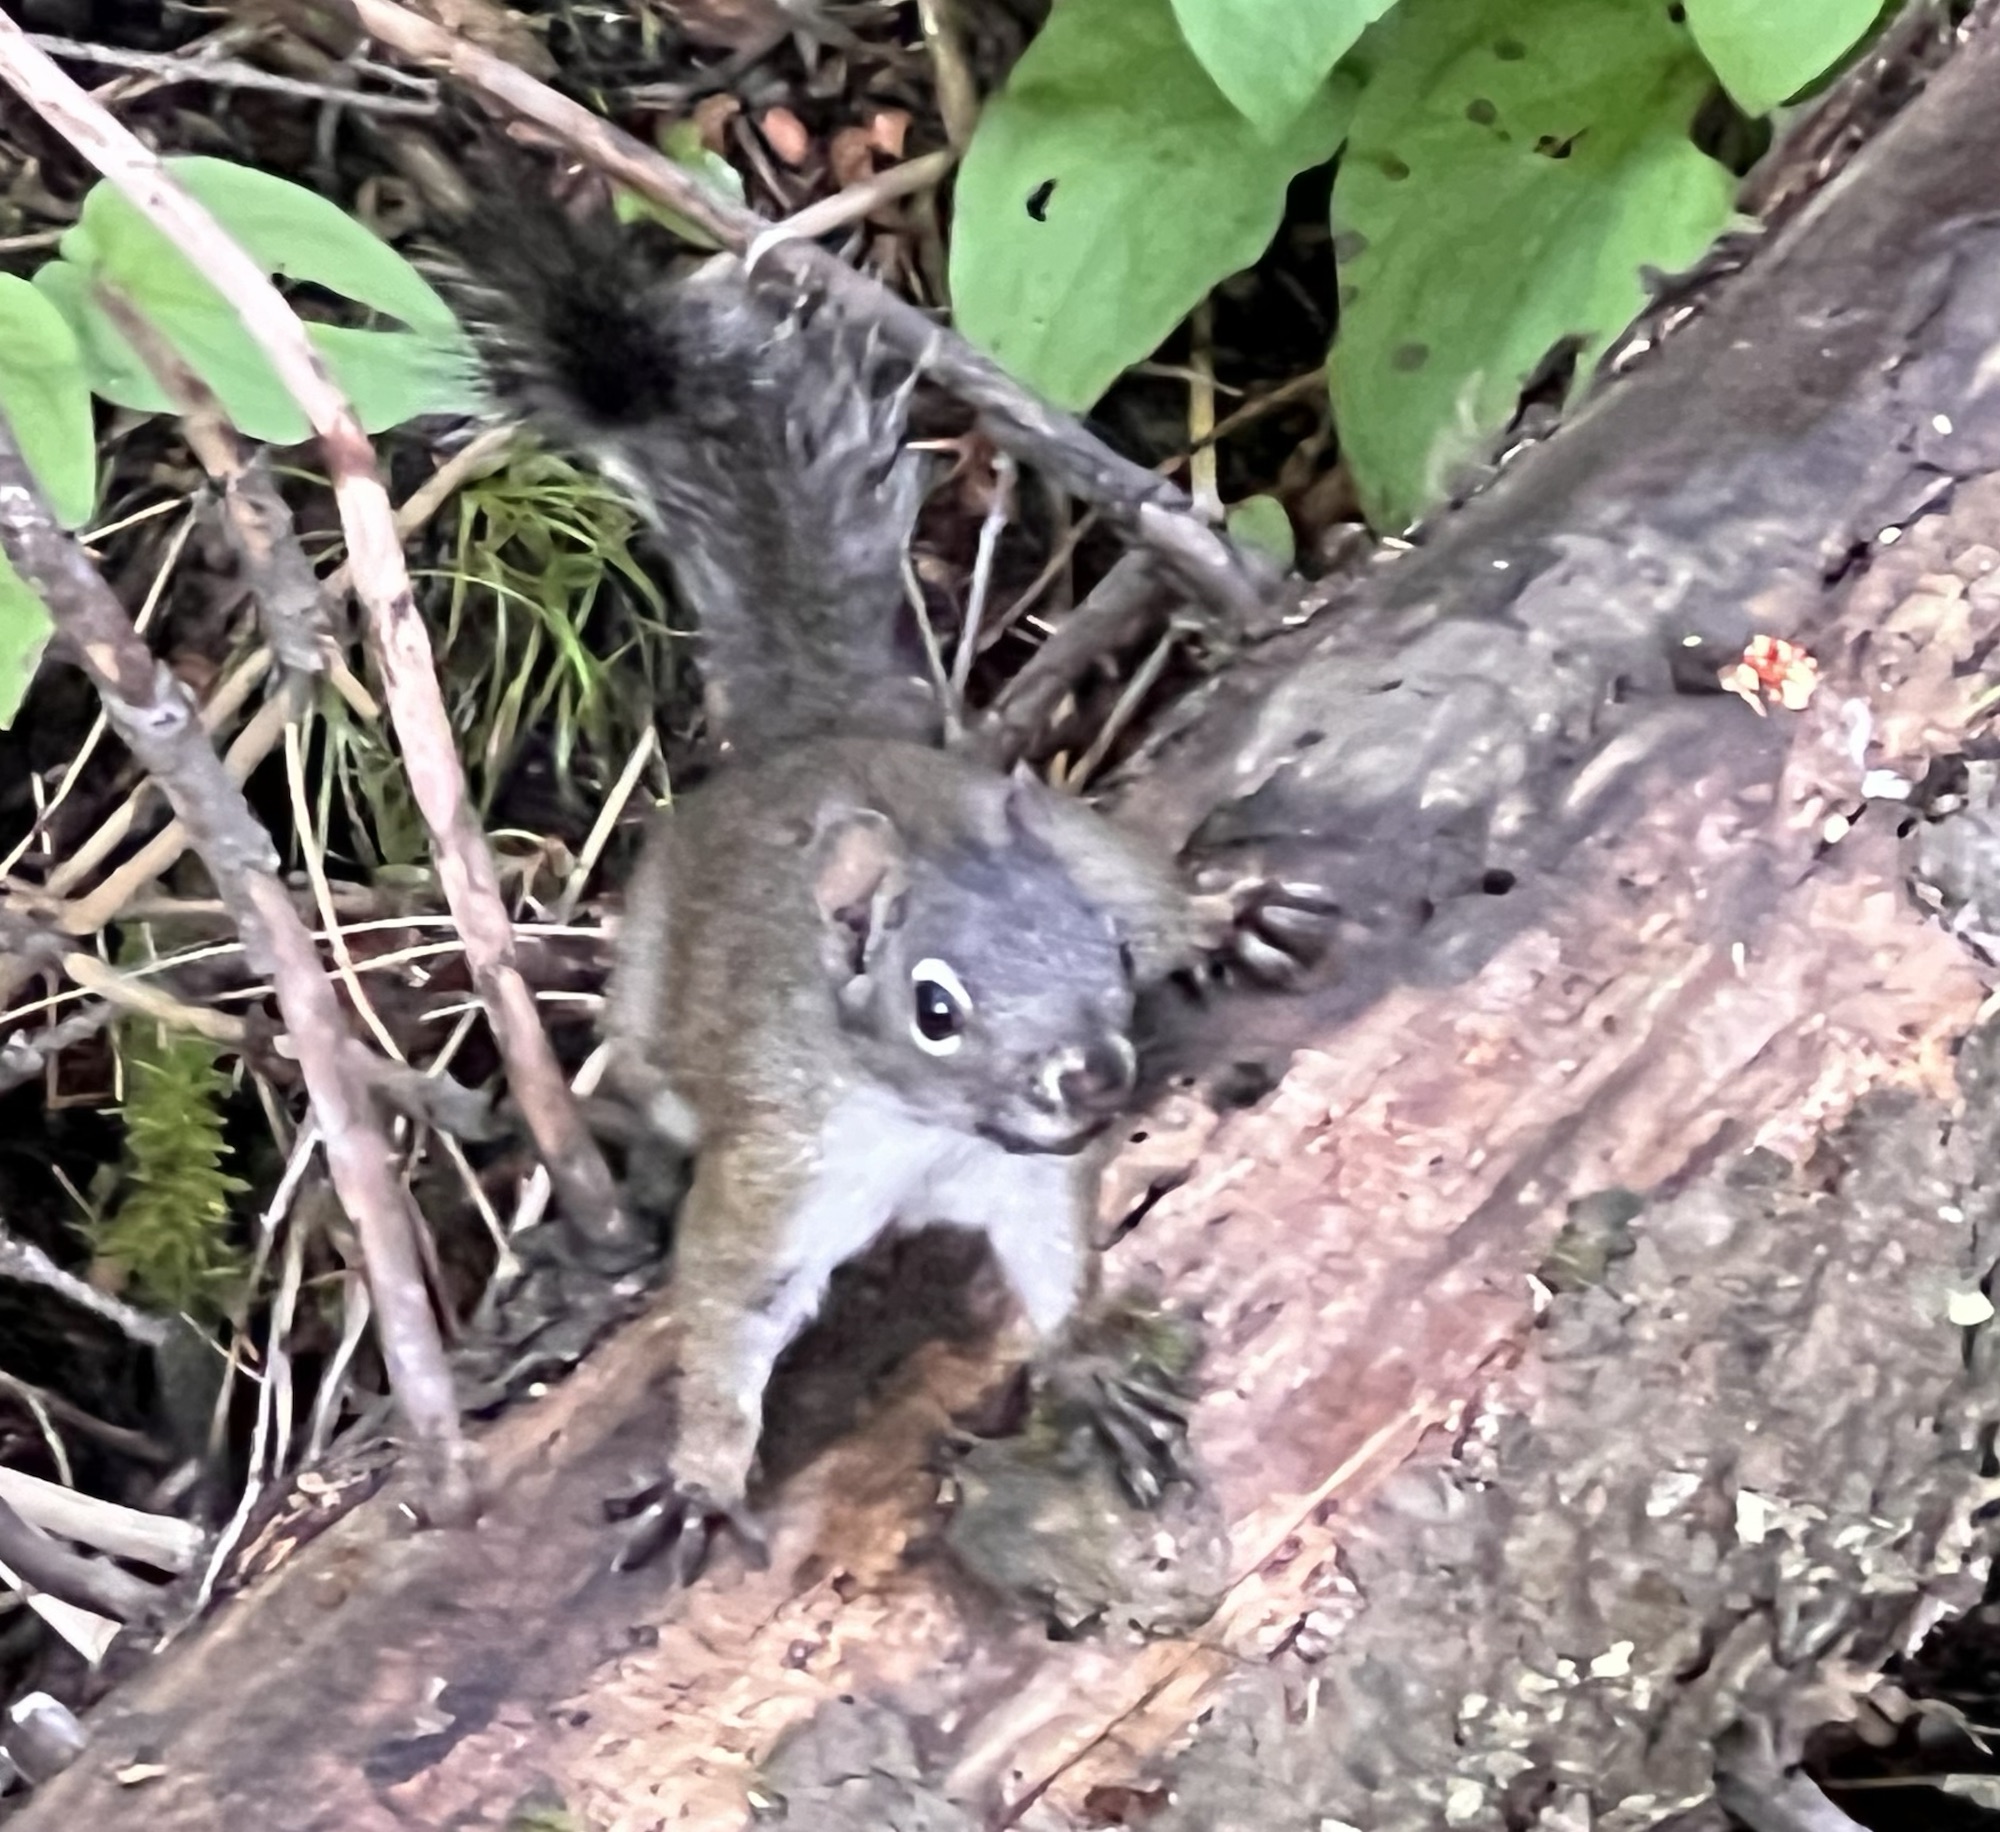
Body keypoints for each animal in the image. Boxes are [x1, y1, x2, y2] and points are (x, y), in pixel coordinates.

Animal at [450, 177, 1321, 1578]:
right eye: (934, 1006)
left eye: (1097, 956)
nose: (1093, 1077)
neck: (921, 1133)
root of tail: (810, 743)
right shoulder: (769, 1171)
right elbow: (725, 1315)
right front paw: (699, 1477)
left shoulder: (1028, 1166)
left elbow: (1056, 1258)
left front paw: (1085, 1365)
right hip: (650, 1021)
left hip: (1071, 827)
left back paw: (1221, 916)